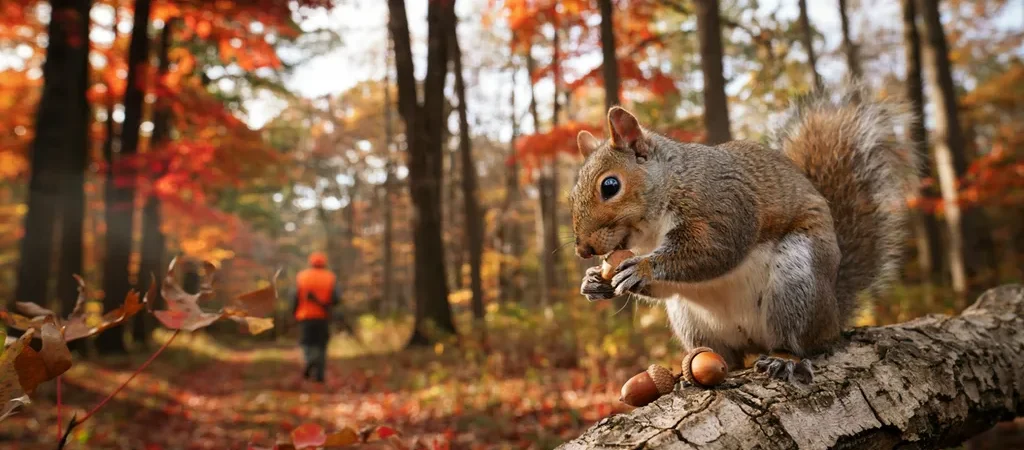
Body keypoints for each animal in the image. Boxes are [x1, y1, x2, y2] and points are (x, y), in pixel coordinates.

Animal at [570, 80, 919, 383]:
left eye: (610, 186)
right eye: (572, 195)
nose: (583, 250)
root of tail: (833, 316)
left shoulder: (725, 207)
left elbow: (715, 250)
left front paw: (642, 267)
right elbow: (666, 287)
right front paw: (594, 282)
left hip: (797, 282)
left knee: (802, 343)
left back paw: (785, 358)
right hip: (691, 321)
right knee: (725, 356)